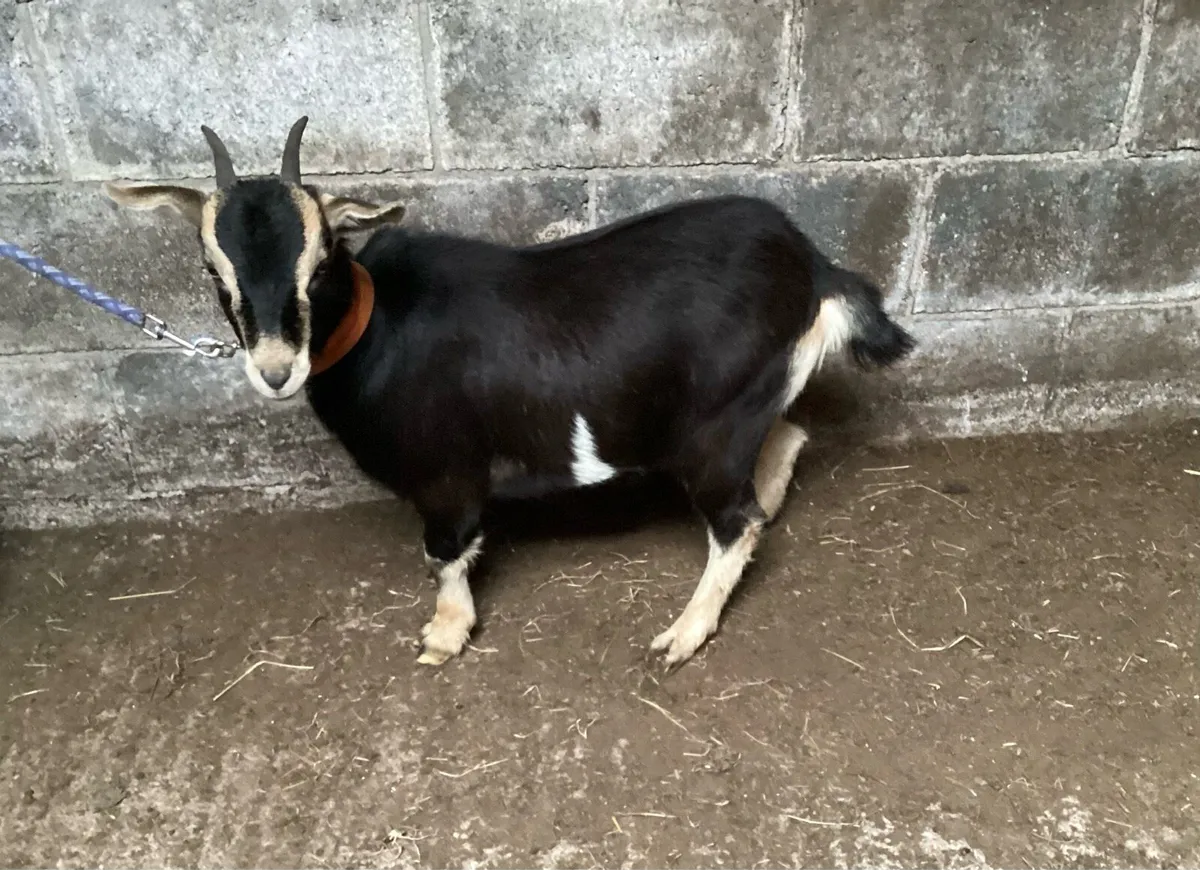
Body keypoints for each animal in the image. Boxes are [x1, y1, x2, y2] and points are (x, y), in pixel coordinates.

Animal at [104, 117, 915, 668]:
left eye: (323, 258)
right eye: (213, 269)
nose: (276, 369)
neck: (379, 326)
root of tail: (813, 265)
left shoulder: (447, 472)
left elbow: (445, 551)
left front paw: (443, 635)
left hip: (713, 427)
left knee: (735, 520)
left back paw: (682, 634)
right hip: (748, 401)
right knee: (787, 440)